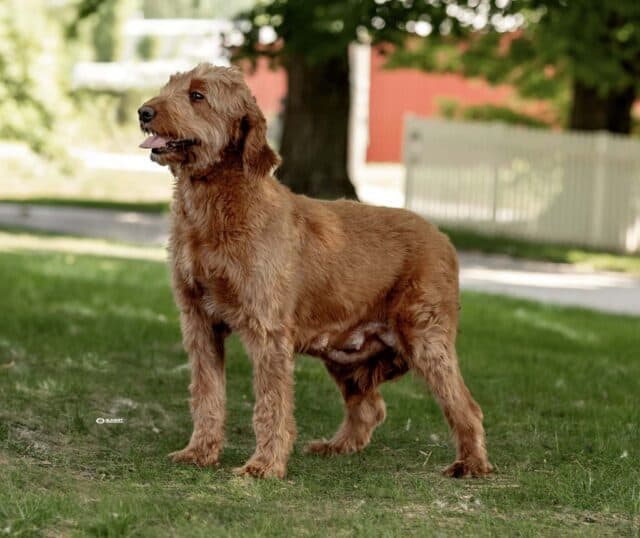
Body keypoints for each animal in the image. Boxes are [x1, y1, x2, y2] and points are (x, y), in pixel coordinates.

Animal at [139, 62, 490, 478]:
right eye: (169, 87)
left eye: (197, 95)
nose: (144, 111)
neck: (217, 205)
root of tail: (444, 238)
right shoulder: (199, 321)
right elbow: (207, 393)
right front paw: (200, 452)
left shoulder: (267, 328)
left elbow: (271, 404)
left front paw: (264, 466)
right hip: (345, 355)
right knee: (370, 407)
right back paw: (336, 447)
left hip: (426, 338)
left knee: (466, 406)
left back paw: (471, 463)